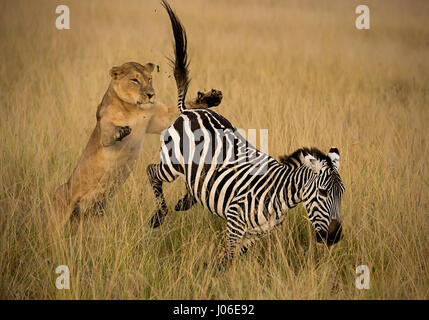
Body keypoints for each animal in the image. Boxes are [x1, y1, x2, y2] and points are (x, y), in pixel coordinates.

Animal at [147, 1, 344, 266]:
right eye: (323, 193)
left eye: (342, 194)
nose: (334, 238)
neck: (280, 194)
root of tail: (188, 110)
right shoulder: (234, 221)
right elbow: (229, 256)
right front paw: (211, 273)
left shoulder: (256, 233)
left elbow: (231, 257)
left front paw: (211, 269)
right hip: (171, 163)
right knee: (152, 172)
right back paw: (158, 216)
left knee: (192, 184)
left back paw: (184, 201)